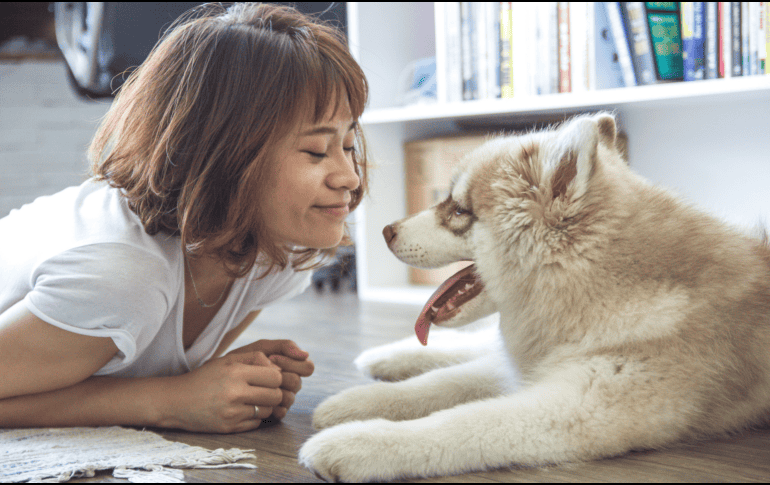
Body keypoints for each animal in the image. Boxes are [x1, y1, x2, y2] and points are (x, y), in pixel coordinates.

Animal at [296, 112, 768, 480]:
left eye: (459, 210)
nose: (384, 231)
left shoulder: (577, 405)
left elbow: (462, 421)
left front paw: (358, 442)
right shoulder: (538, 366)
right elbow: (438, 384)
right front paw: (356, 403)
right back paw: (386, 357)